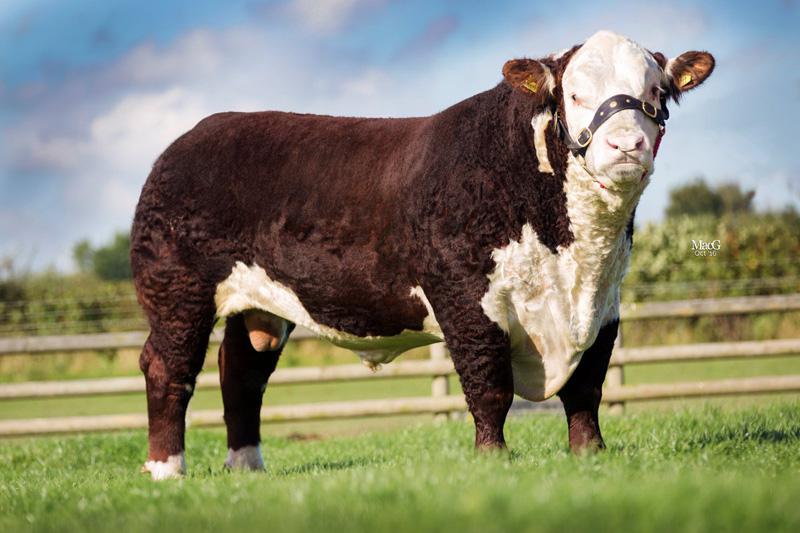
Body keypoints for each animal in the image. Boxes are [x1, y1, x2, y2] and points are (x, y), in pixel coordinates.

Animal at [131, 30, 714, 479]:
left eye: (657, 91)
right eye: (573, 94)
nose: (626, 146)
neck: (575, 259)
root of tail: (190, 138)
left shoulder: (605, 303)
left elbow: (587, 386)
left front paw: (590, 454)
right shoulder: (465, 296)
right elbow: (489, 385)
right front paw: (492, 459)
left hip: (259, 305)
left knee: (242, 371)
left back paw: (247, 468)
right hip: (177, 289)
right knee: (168, 367)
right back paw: (166, 470)